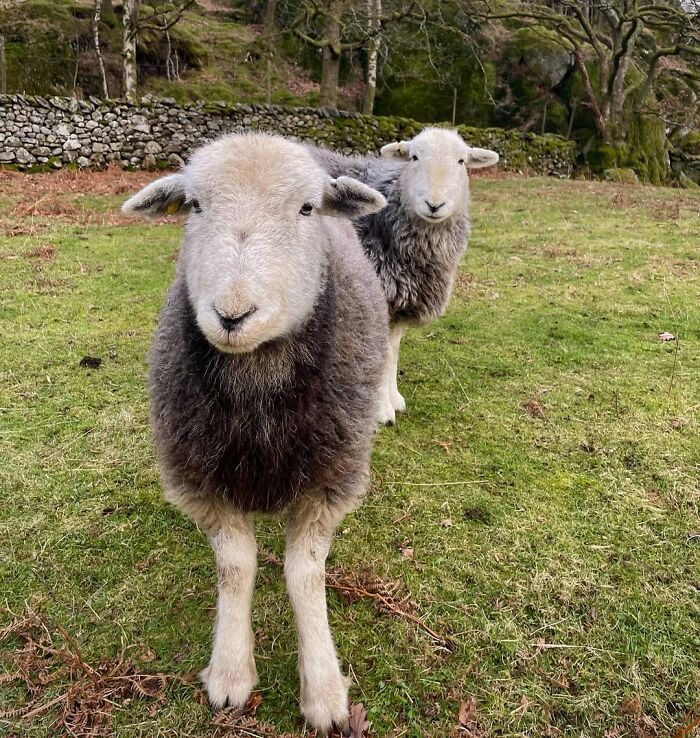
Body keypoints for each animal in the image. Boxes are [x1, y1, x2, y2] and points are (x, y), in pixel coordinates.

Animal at [122, 132, 389, 735]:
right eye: (194, 206)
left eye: (307, 208)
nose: (232, 314)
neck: (256, 379)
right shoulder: (199, 479)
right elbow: (236, 567)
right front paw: (230, 673)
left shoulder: (329, 480)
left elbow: (303, 574)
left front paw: (323, 690)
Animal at [309, 128, 499, 425]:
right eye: (414, 157)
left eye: (461, 161)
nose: (434, 204)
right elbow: (383, 352)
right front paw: (380, 410)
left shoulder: (400, 299)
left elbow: (394, 350)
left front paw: (393, 398)